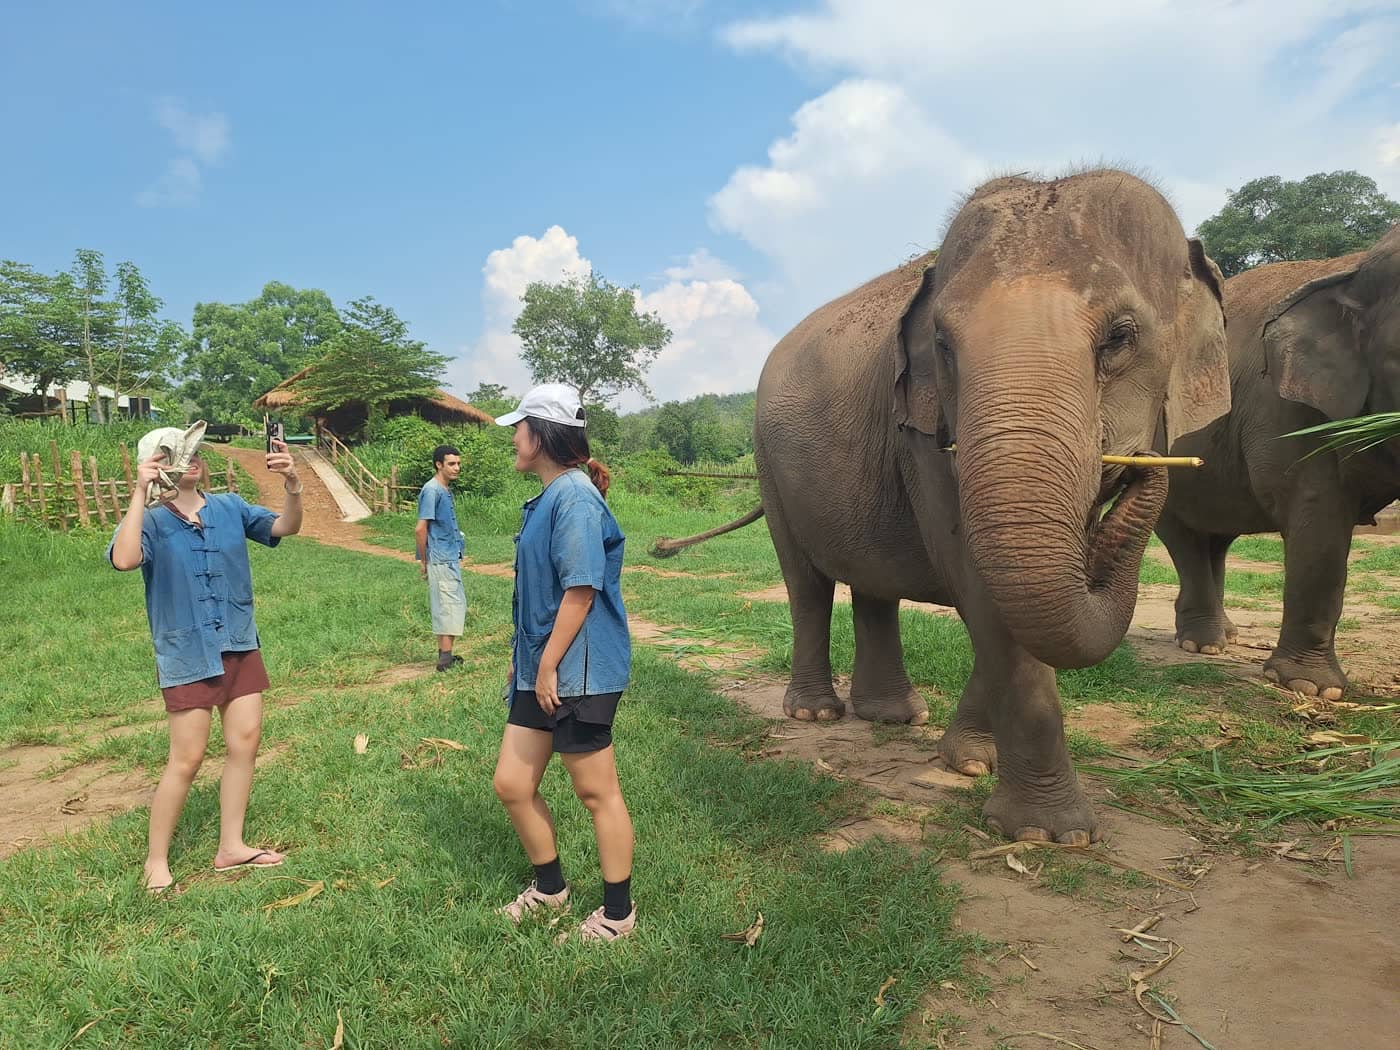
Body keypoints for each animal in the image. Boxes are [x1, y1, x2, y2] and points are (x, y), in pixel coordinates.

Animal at [653, 169, 1231, 843]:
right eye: (943, 344)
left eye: (1121, 336)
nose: (1148, 465)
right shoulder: (922, 430)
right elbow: (974, 577)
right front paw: (1048, 833)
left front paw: (972, 760)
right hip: (770, 466)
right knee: (806, 585)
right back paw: (817, 714)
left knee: (872, 585)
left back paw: (893, 716)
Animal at [1154, 223, 1400, 698]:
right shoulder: (1288, 411)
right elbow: (1319, 524)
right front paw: (1312, 689)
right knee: (1183, 534)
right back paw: (1204, 644)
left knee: (1215, 537)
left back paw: (1226, 635)